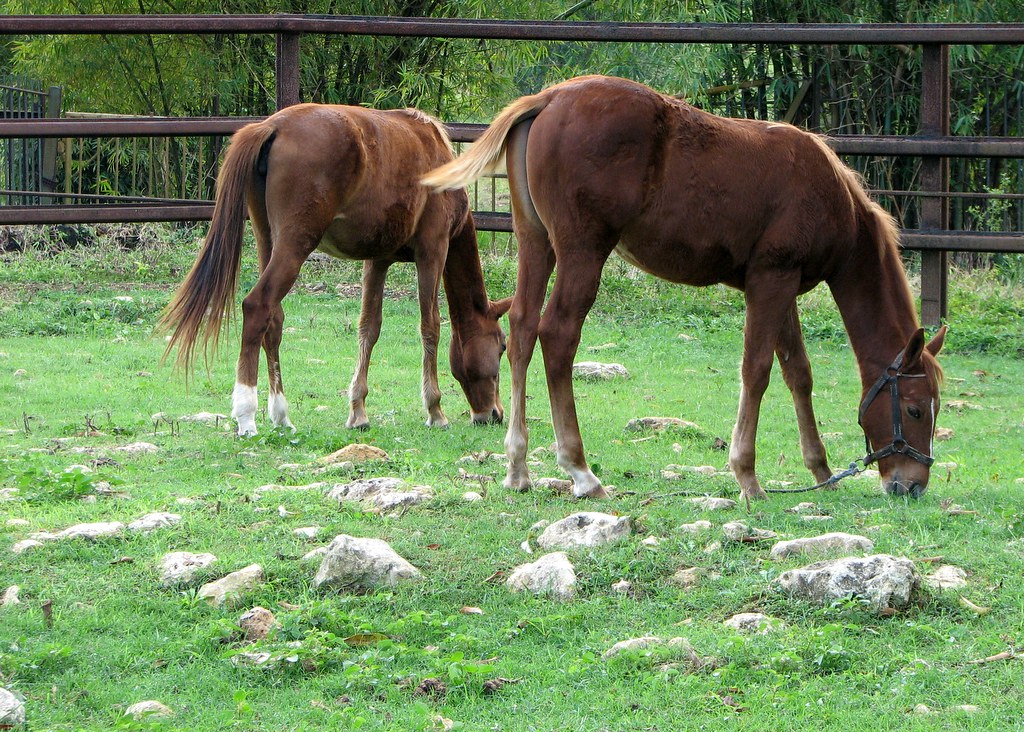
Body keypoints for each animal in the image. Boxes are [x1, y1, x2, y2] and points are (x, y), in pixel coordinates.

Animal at [160, 103, 511, 436]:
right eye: (502, 346)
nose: (494, 414)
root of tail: (272, 126)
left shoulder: (378, 260)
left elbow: (369, 328)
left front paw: (358, 412)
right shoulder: (433, 251)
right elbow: (430, 327)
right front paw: (435, 411)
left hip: (266, 239)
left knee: (273, 319)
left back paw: (281, 416)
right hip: (294, 246)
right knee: (258, 306)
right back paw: (247, 416)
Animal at [424, 75, 946, 501]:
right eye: (917, 410)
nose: (912, 486)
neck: (829, 194)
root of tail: (549, 99)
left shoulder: (781, 286)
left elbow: (798, 372)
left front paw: (819, 470)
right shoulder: (770, 281)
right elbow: (757, 371)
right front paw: (747, 476)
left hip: (536, 242)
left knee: (523, 330)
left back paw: (517, 467)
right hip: (583, 251)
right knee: (557, 335)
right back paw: (581, 471)